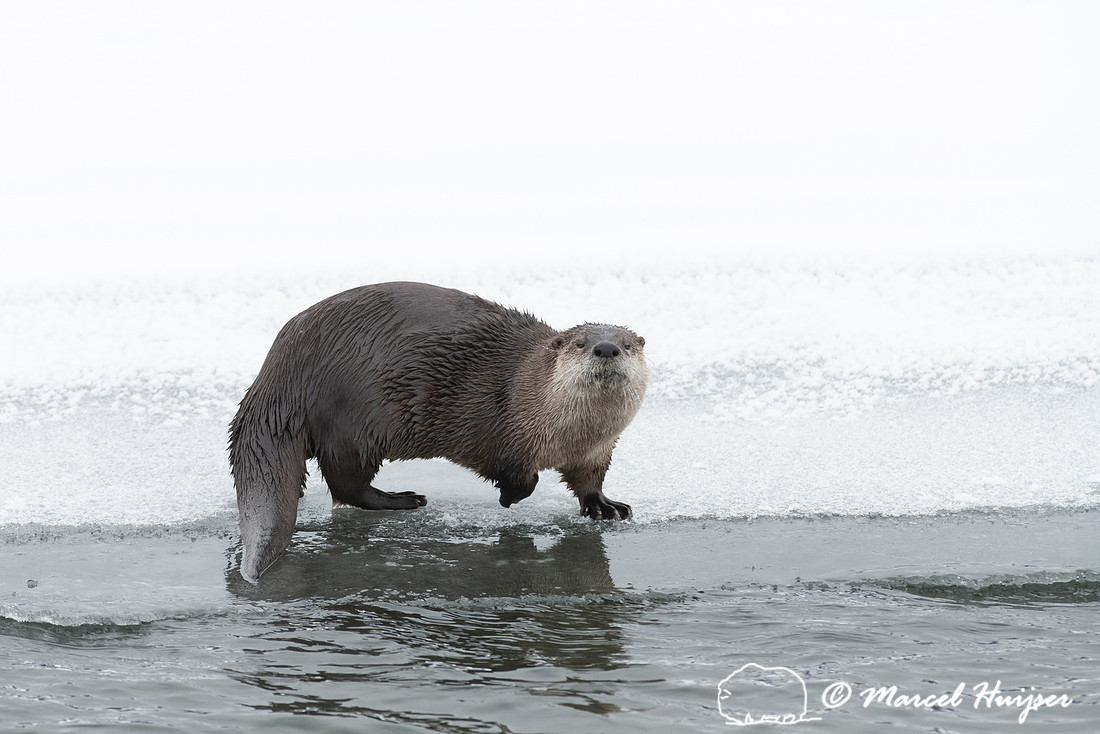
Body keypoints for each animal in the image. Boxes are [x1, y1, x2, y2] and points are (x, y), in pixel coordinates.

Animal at [229, 281, 648, 582]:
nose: (606, 348)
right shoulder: (492, 423)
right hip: (357, 420)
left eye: (628, 344)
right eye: (580, 343)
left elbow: (590, 481)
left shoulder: (597, 450)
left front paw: (604, 506)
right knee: (347, 482)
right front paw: (508, 498)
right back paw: (403, 499)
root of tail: (282, 369)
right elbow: (516, 475)